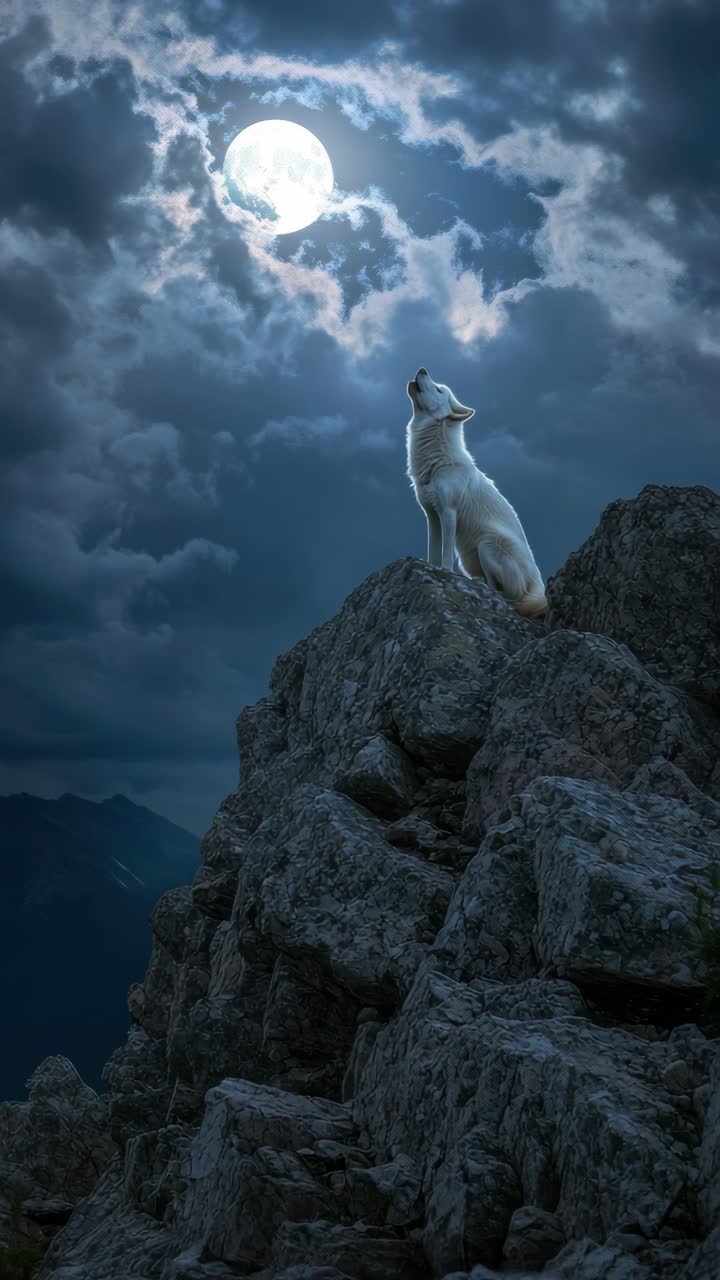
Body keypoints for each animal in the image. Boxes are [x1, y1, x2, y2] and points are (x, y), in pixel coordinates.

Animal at [406, 367, 547, 618]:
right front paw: (430, 568)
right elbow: (433, 549)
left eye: (439, 389)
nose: (422, 369)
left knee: (505, 592)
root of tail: (538, 586)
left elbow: (446, 552)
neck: (436, 463)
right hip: (470, 557)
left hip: (487, 545)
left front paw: (445, 571)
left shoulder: (448, 512)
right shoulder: (431, 515)